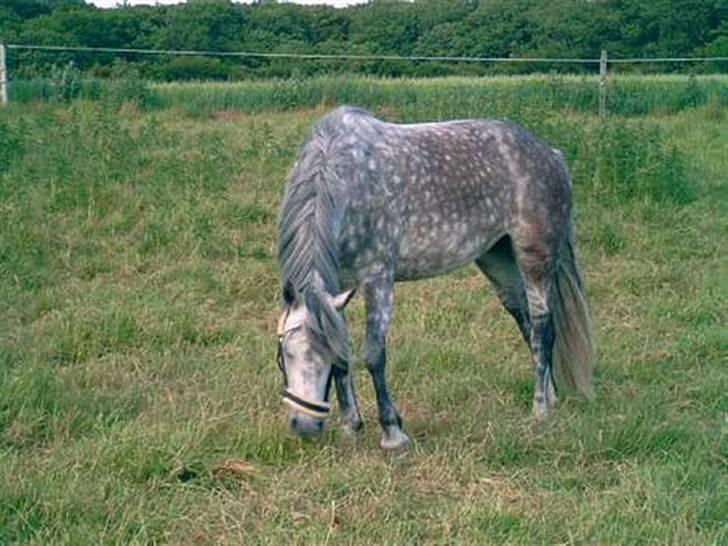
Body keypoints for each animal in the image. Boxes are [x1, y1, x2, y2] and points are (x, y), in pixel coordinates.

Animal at [276, 106, 596, 450]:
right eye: (285, 353)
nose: (305, 426)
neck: (349, 182)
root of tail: (551, 155)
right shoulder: (339, 287)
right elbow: (344, 356)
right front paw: (351, 427)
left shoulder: (378, 278)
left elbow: (374, 355)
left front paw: (393, 433)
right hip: (497, 258)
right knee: (527, 326)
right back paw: (551, 396)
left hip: (535, 257)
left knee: (542, 326)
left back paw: (540, 408)